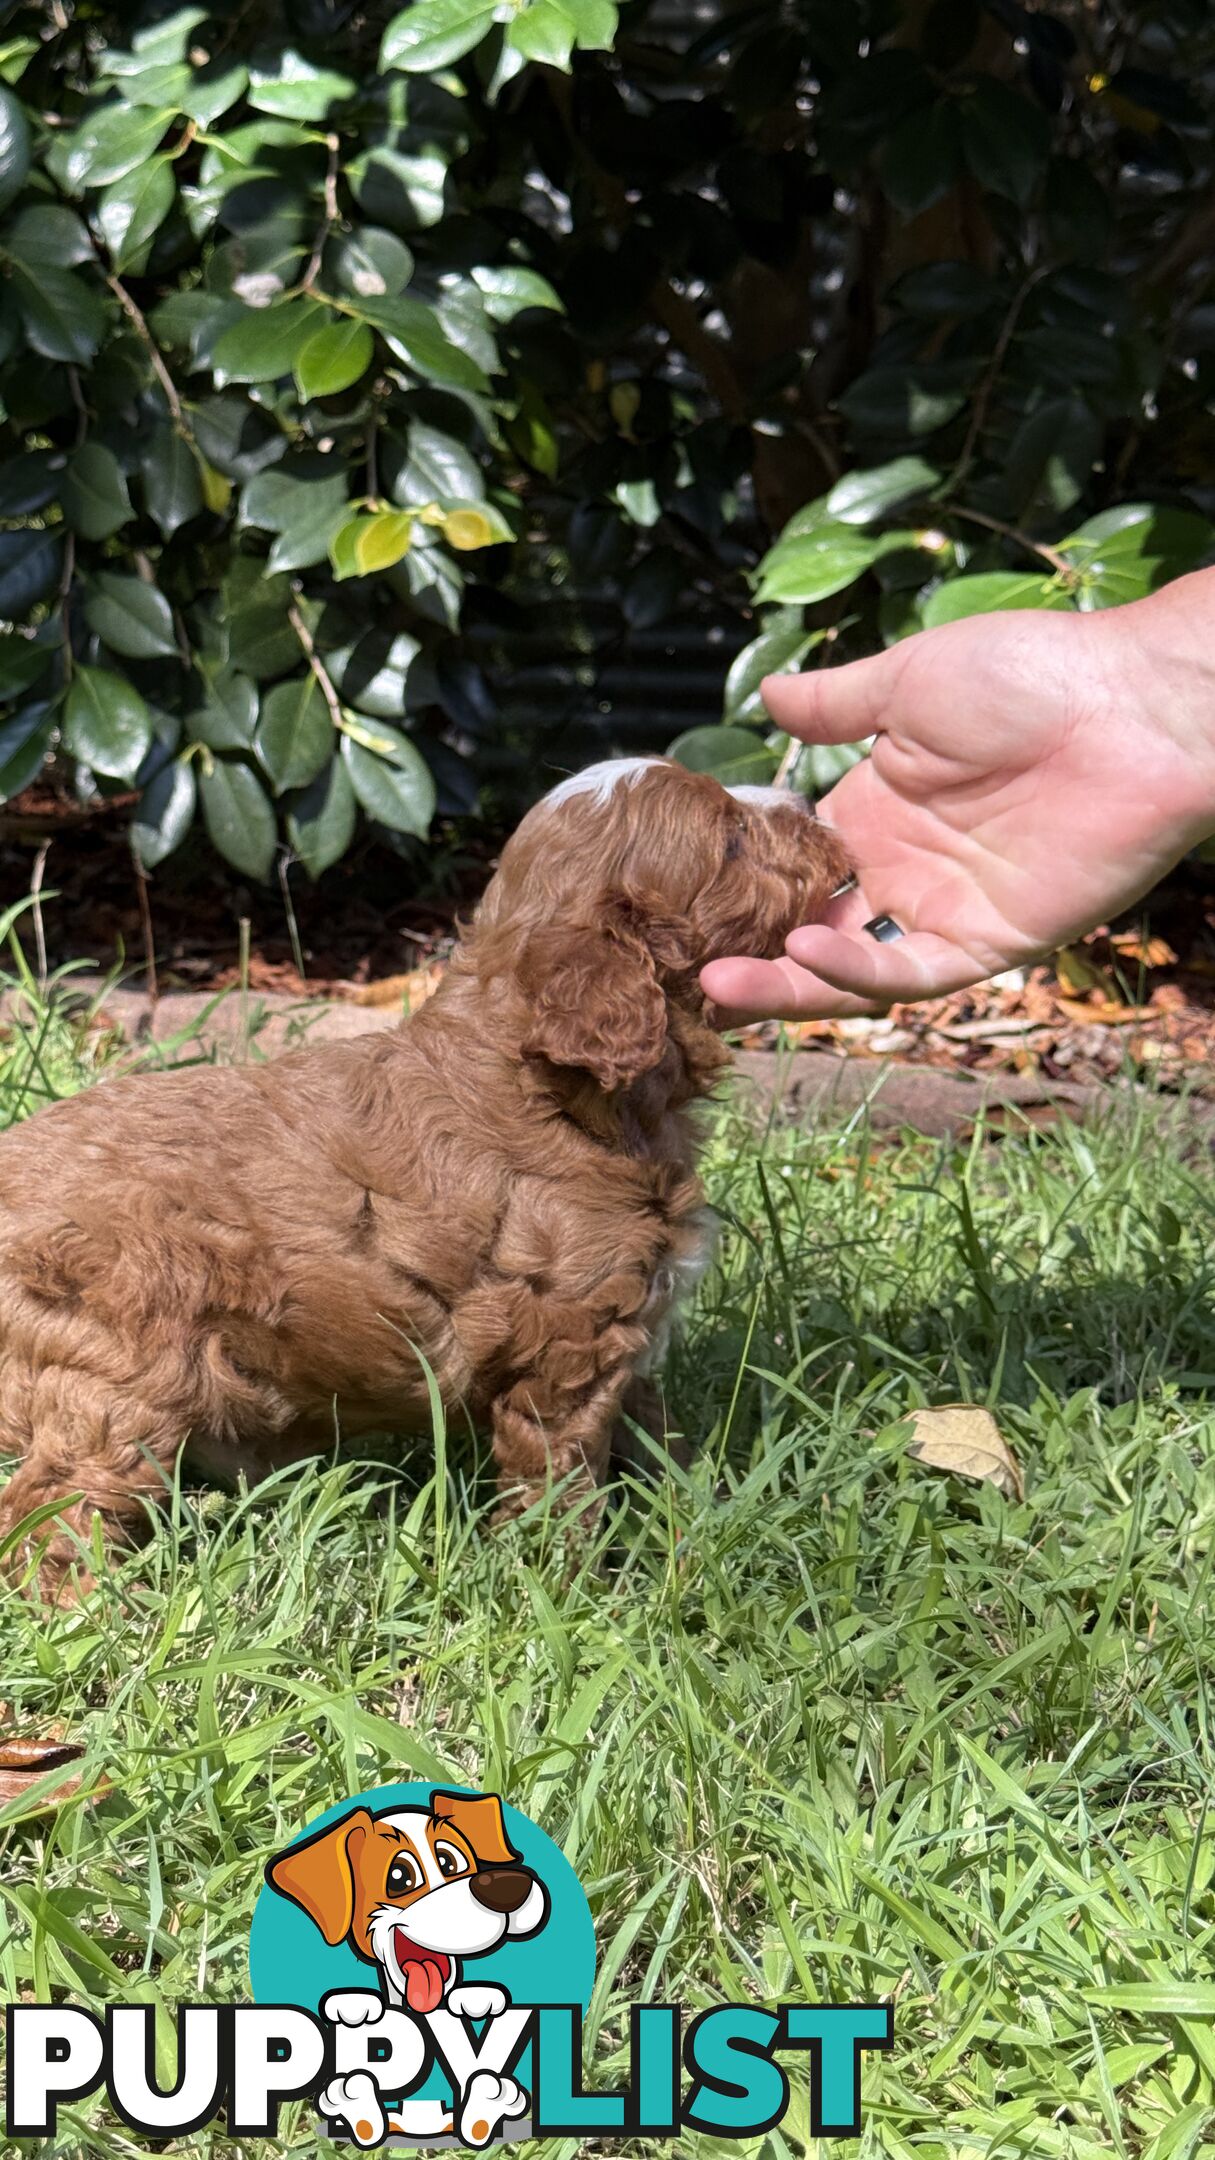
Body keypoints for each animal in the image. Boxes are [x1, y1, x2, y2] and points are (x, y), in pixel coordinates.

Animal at [0, 756, 843, 1589]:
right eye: (731, 838)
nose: (810, 802)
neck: (549, 1083)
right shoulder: (567, 1348)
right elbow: (562, 1481)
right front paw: (571, 1588)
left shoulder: (626, 1332)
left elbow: (659, 1440)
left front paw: (713, 1511)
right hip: (119, 1375)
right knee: (51, 1511)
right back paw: (98, 1604)